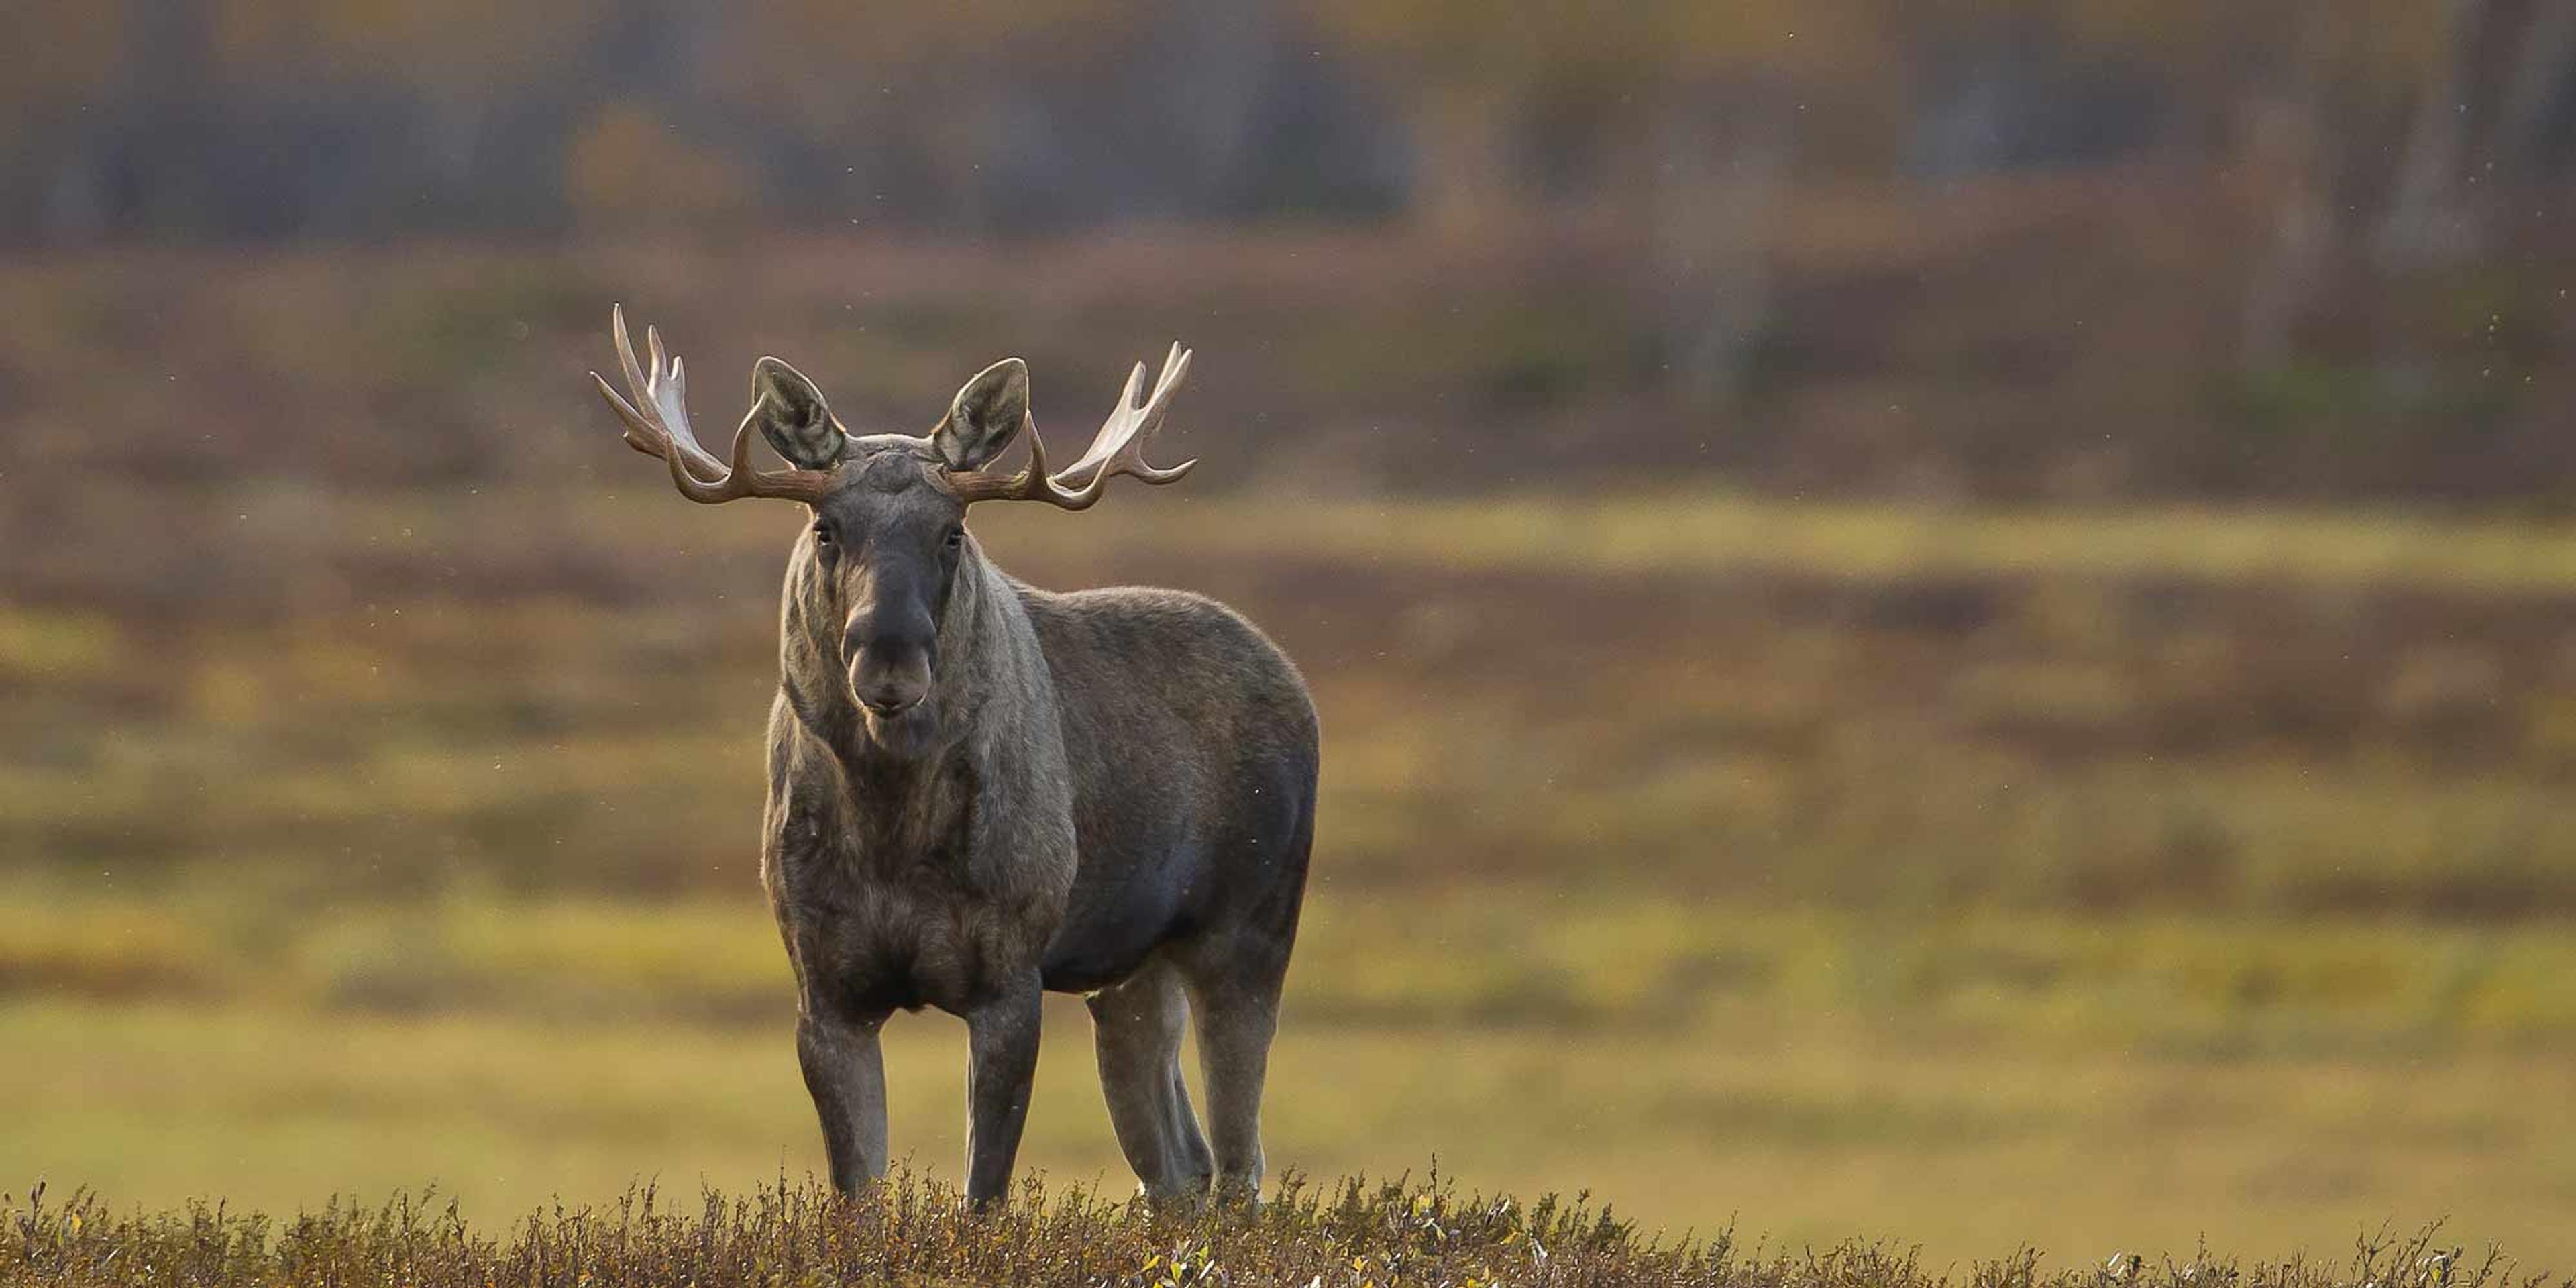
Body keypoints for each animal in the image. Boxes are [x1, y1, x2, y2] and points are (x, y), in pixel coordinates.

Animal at [590, 308, 1317, 1210]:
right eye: (825, 529)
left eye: (953, 532)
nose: (889, 659)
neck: (888, 828)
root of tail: (1295, 683)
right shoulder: (825, 991)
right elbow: (858, 1199)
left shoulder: (1009, 980)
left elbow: (984, 1199)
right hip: (1131, 974)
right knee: (1181, 1167)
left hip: (1247, 933)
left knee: (1240, 1169)